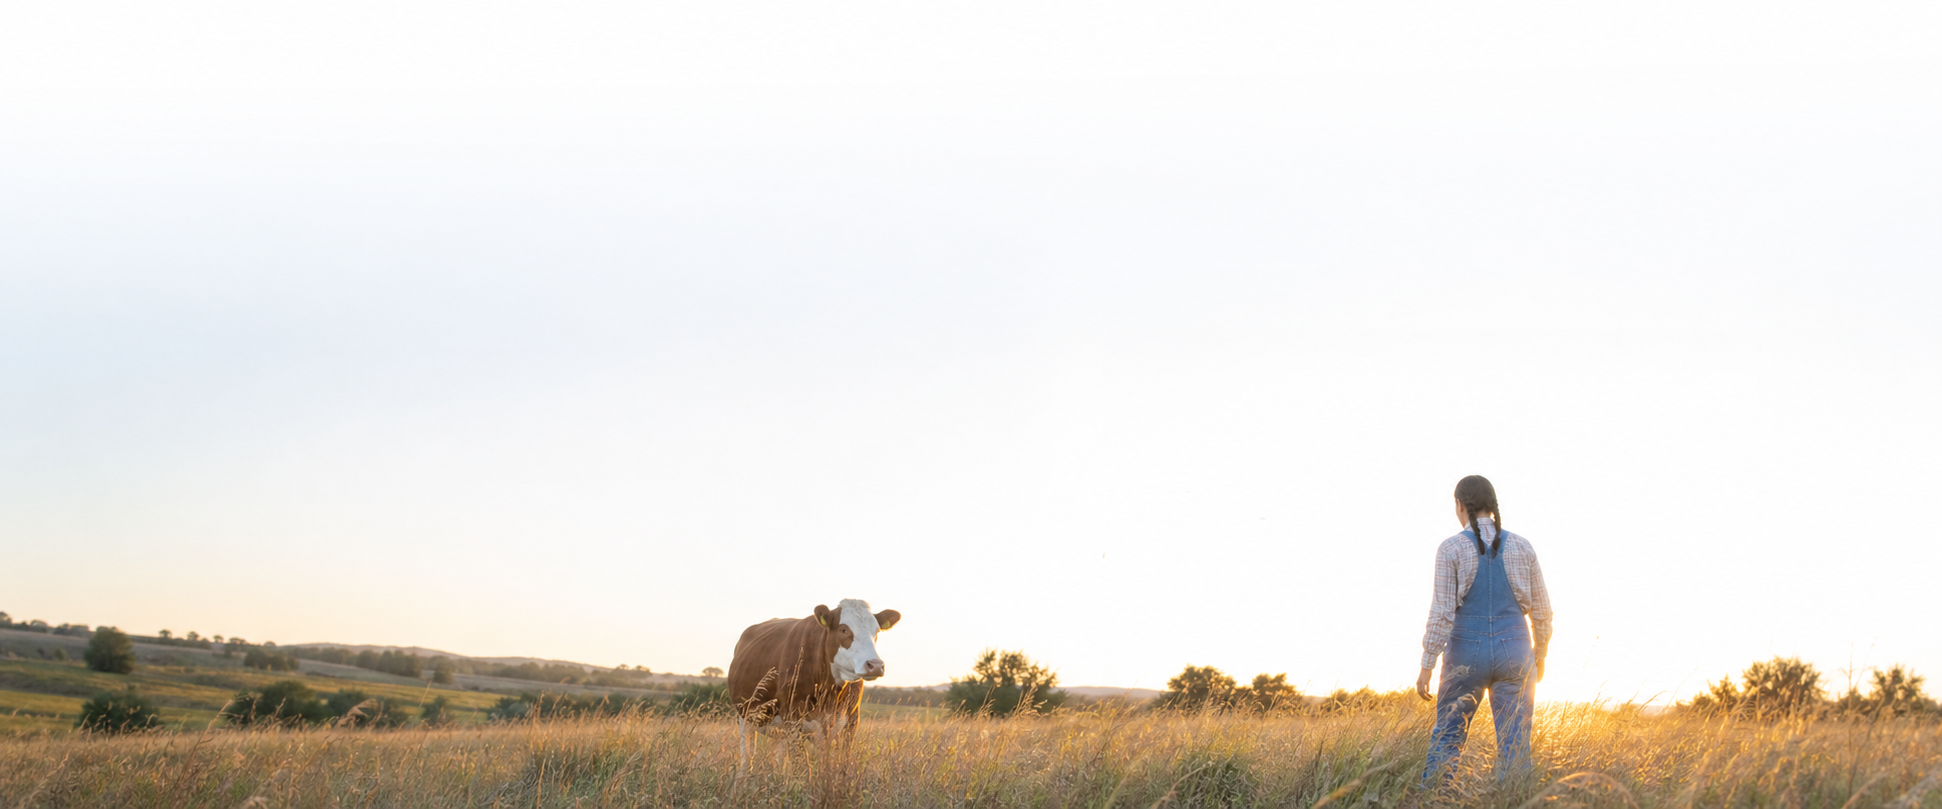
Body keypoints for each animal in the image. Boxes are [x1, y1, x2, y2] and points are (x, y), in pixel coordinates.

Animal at [728, 598, 900, 765]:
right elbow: (801, 766)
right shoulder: (793, 719)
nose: (875, 665)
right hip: (744, 716)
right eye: (844, 629)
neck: (831, 692)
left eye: (876, 631)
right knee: (747, 756)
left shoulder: (850, 721)